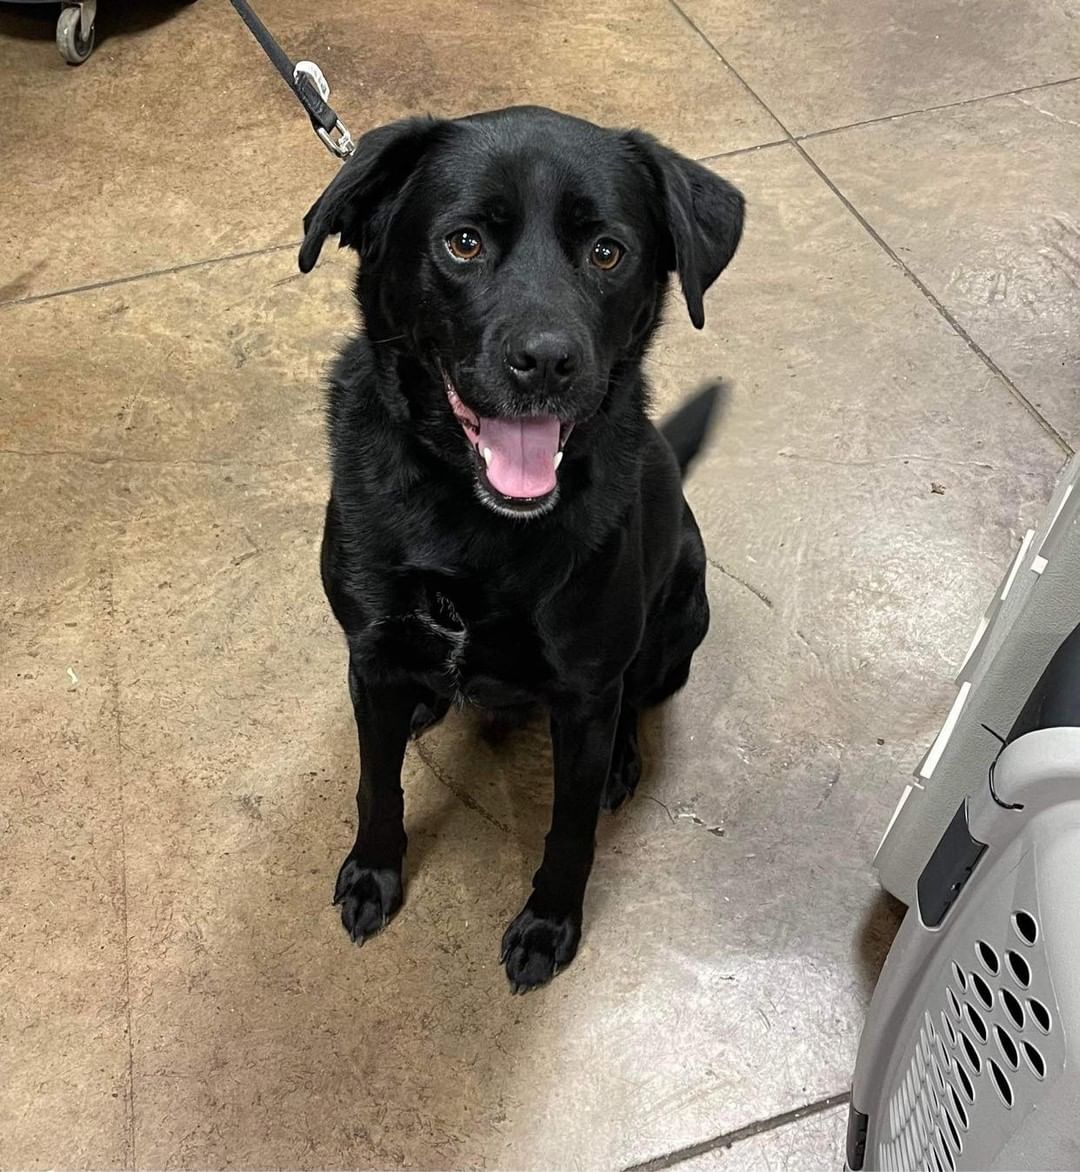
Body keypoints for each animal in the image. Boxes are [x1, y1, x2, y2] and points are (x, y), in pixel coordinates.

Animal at [298, 107, 744, 989]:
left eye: (607, 251)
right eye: (464, 242)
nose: (545, 361)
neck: (475, 529)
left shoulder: (584, 691)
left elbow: (568, 832)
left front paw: (549, 924)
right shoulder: (369, 657)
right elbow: (376, 784)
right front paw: (373, 871)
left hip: (677, 624)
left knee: (637, 700)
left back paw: (620, 762)